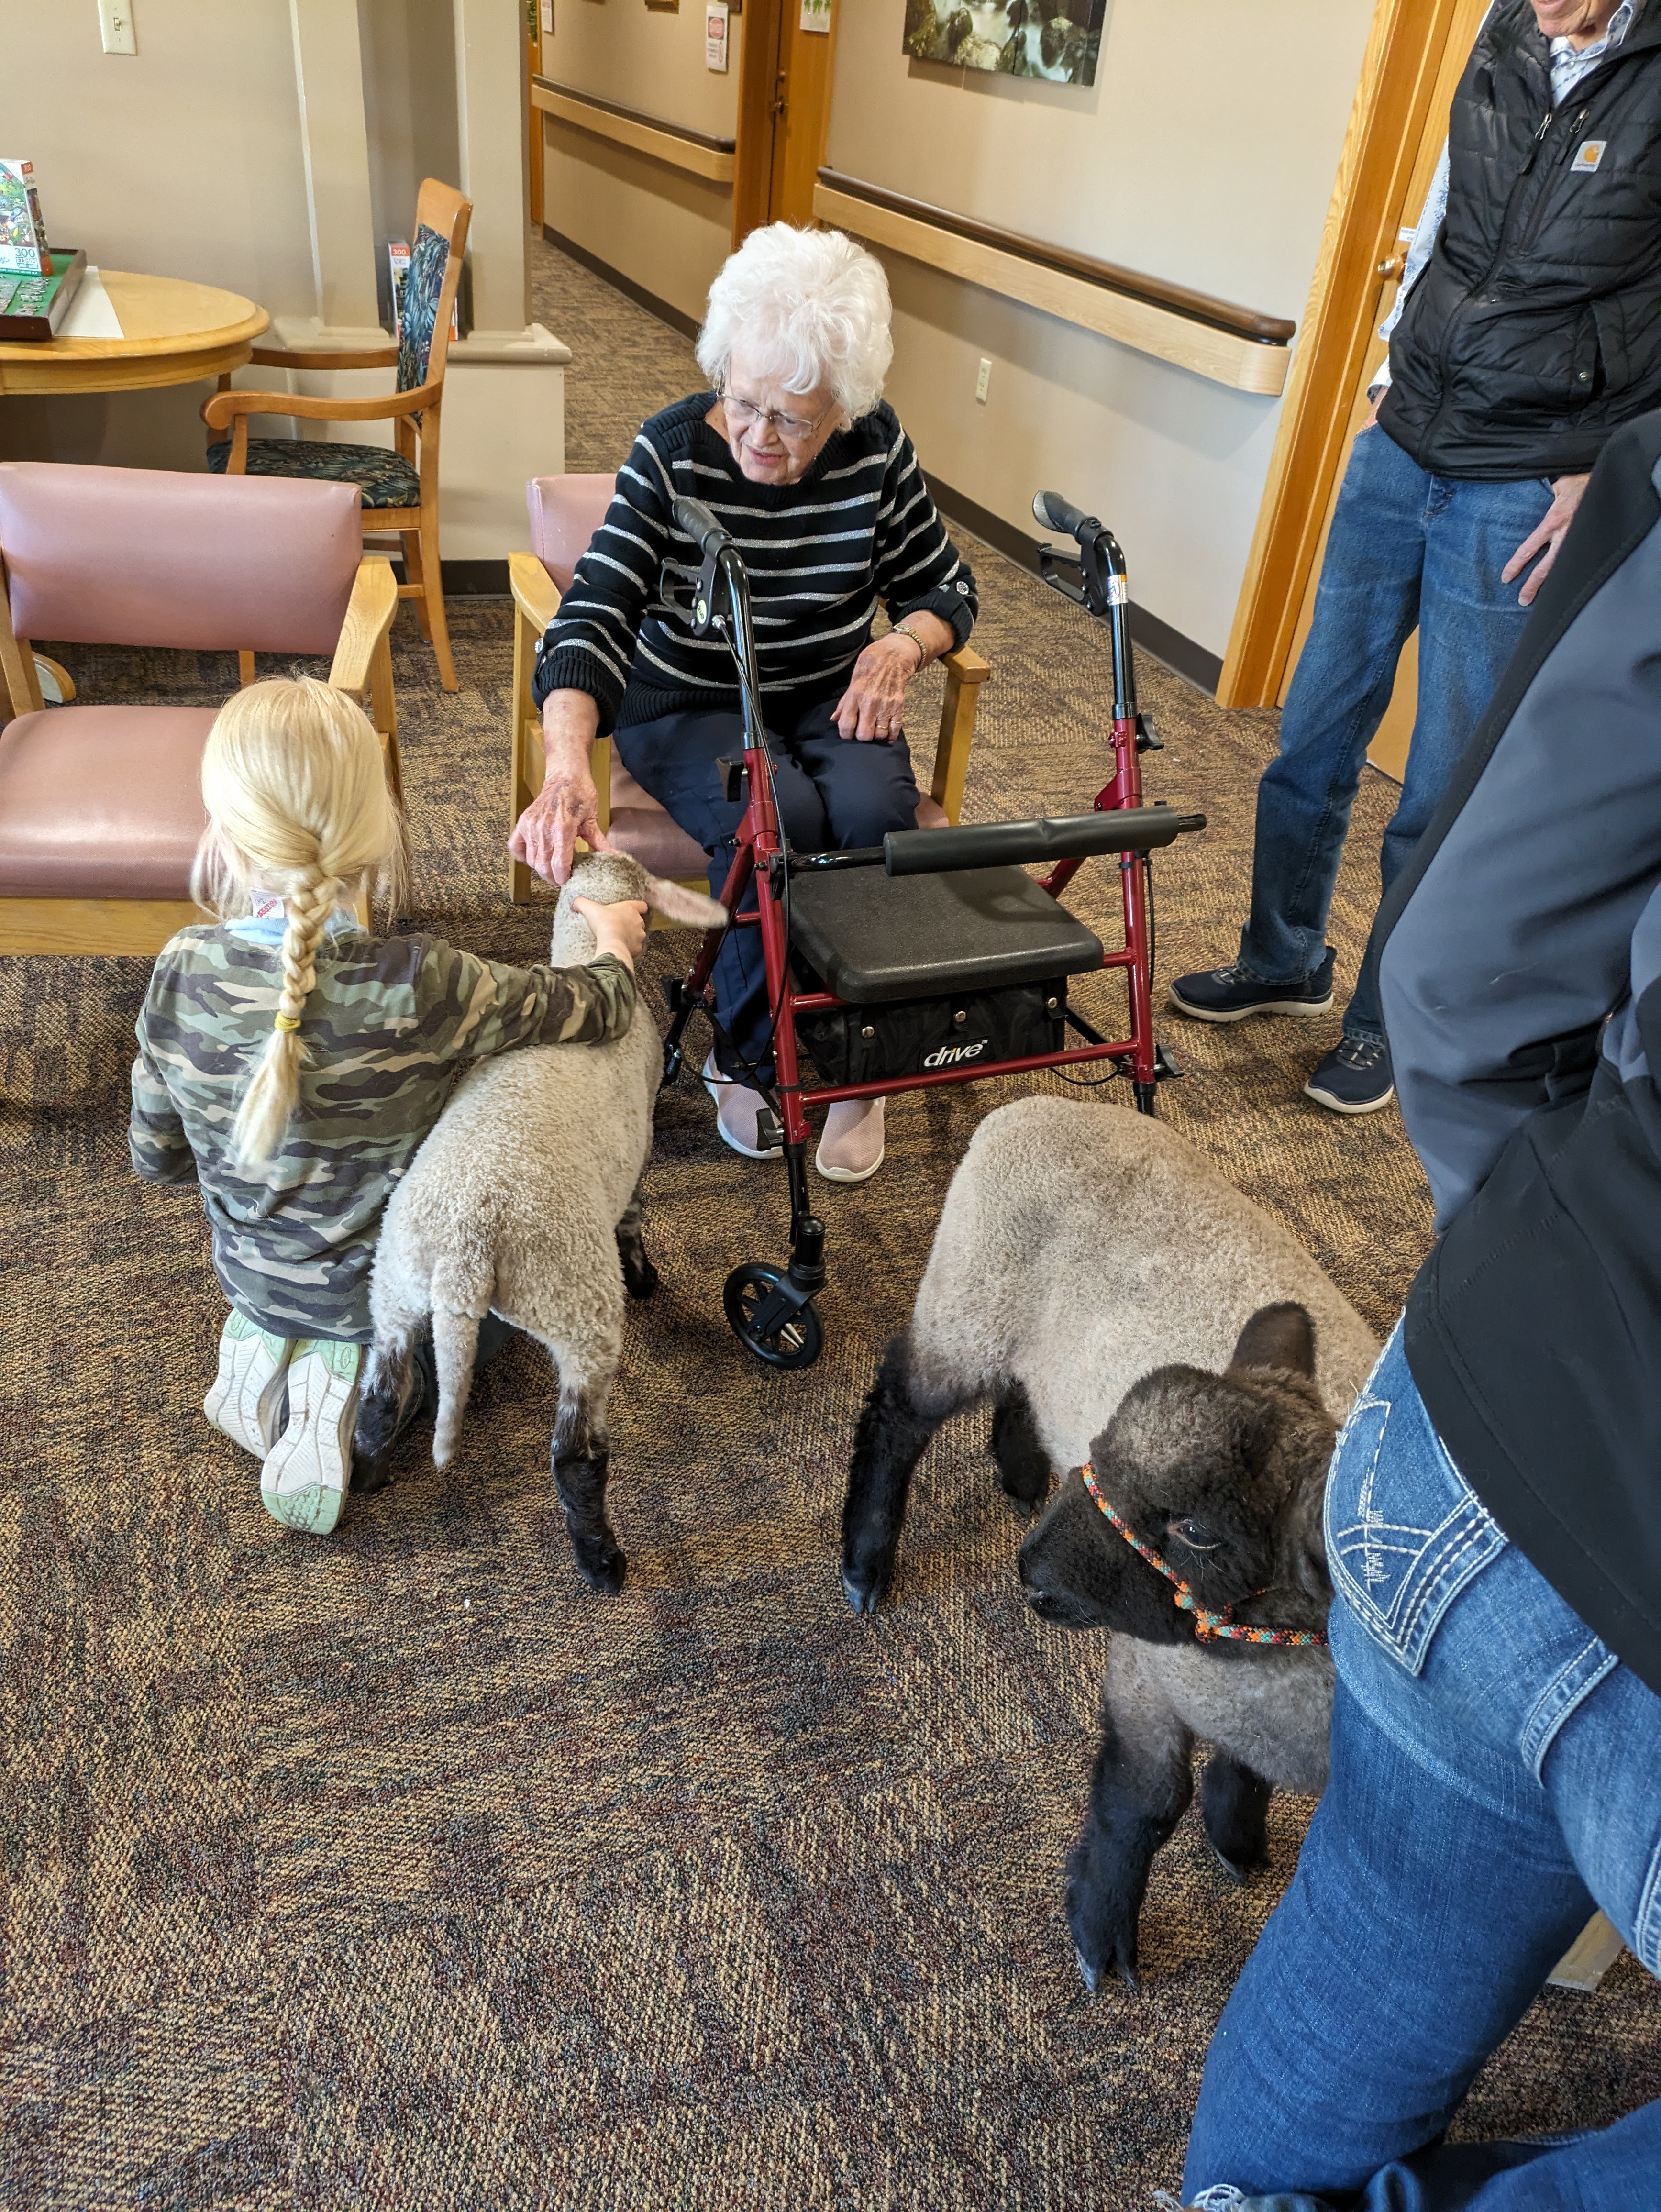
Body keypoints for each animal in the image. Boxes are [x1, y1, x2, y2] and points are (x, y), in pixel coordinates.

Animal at [360, 845, 725, 1593]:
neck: (584, 953)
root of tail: (467, 1253)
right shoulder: (639, 1147)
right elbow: (633, 1217)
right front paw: (646, 1276)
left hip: (396, 1285)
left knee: (381, 1394)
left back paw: (369, 1475)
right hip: (577, 1307)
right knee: (575, 1456)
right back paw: (602, 1562)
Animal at [845, 1101, 1380, 1991]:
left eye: (1199, 1530)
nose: (1028, 1569)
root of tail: (1026, 1106)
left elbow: (1242, 1770)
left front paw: (1236, 1840)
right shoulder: (1147, 1671)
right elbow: (1146, 1802)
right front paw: (1101, 1936)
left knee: (1016, 1387)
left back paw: (1022, 1466)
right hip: (967, 1299)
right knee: (896, 1411)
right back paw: (863, 1562)